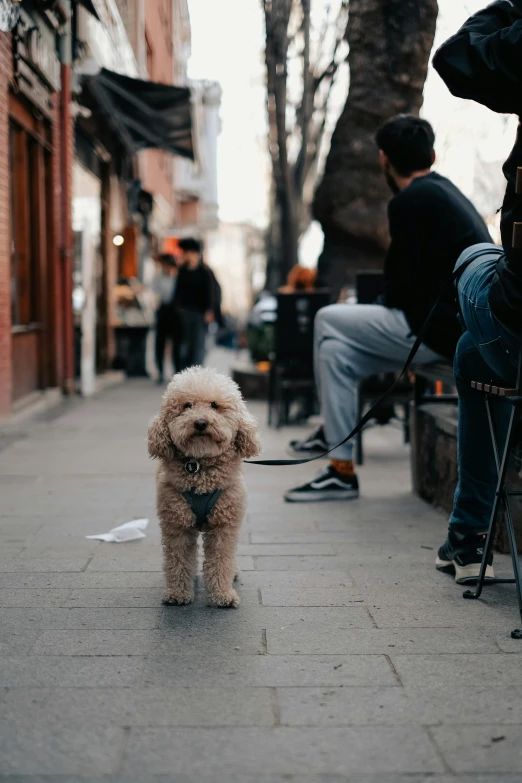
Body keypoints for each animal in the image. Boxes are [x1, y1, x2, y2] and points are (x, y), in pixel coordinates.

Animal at [146, 364, 260, 608]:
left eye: (214, 405)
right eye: (187, 405)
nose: (200, 423)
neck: (199, 467)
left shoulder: (224, 527)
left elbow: (221, 561)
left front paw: (223, 595)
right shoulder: (176, 525)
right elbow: (178, 561)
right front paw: (178, 593)